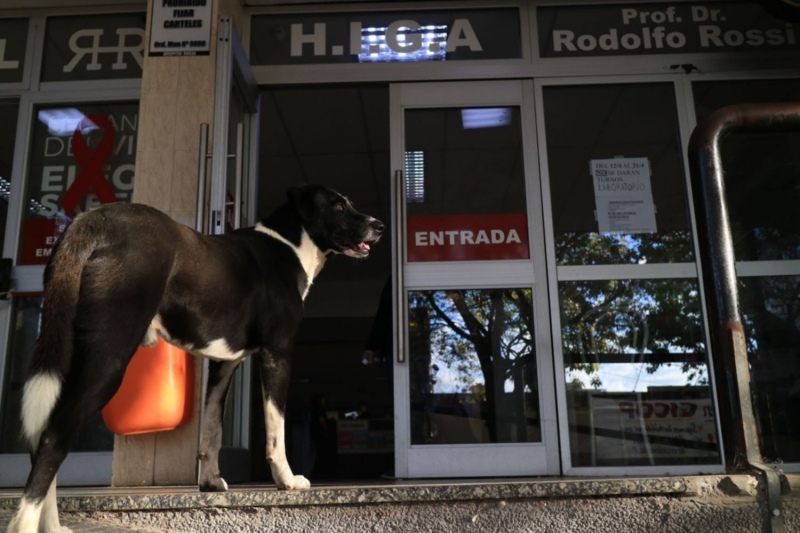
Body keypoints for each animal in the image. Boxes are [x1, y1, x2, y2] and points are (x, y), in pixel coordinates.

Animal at [7, 184, 384, 532]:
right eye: (337, 205)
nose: (379, 225)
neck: (289, 245)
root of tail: (93, 220)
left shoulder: (224, 364)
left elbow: (213, 427)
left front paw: (210, 482)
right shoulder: (277, 354)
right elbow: (276, 428)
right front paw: (287, 480)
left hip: (71, 356)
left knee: (43, 434)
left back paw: (52, 525)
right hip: (108, 357)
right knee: (53, 437)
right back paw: (26, 523)